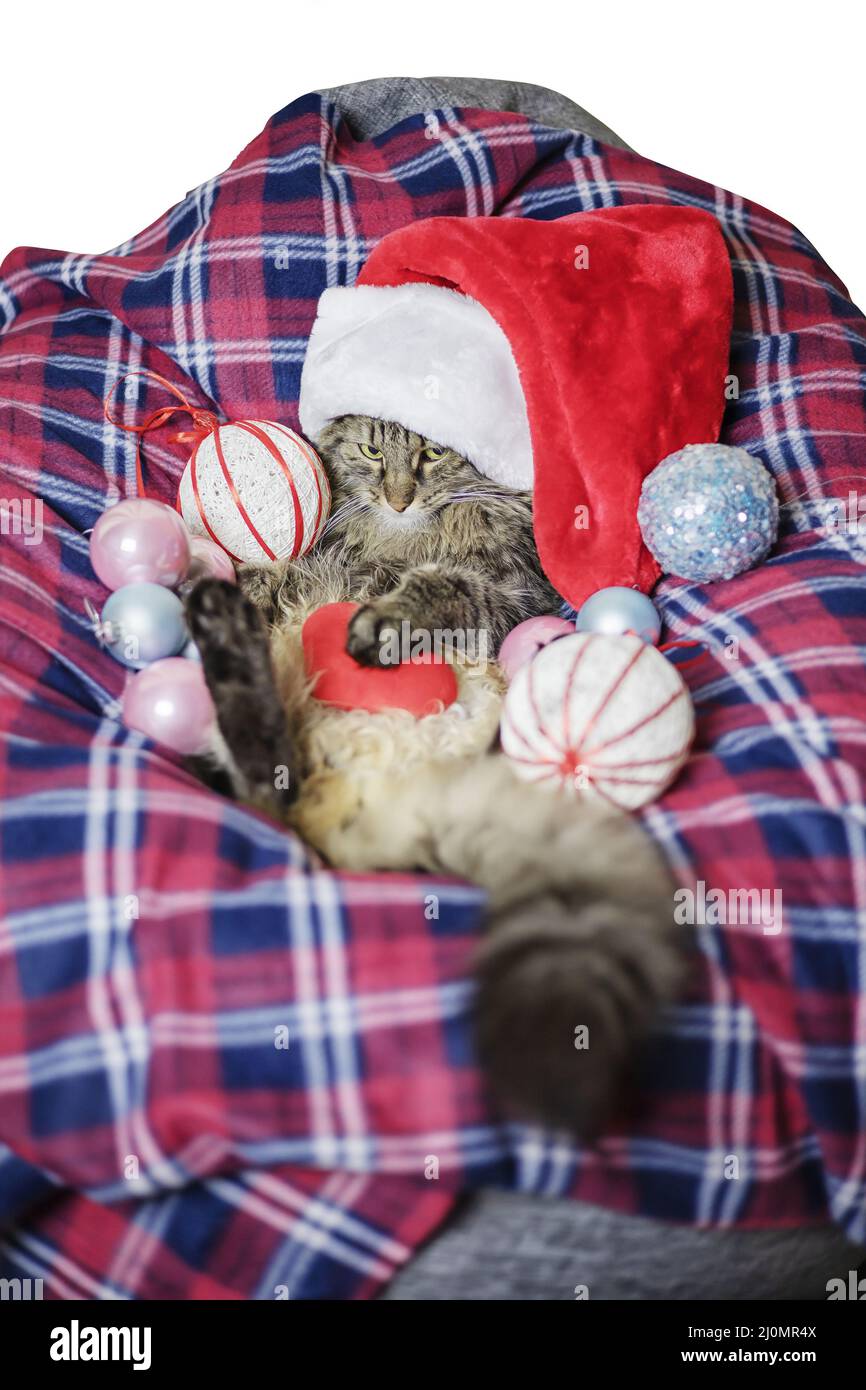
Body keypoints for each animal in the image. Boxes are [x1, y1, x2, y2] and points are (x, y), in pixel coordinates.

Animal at [186, 417, 686, 1134]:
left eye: (433, 451)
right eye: (372, 450)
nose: (398, 499)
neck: (408, 536)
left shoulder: (504, 596)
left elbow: (441, 588)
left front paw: (383, 620)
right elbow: (283, 574)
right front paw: (245, 583)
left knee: (270, 776)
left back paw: (223, 625)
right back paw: (219, 616)